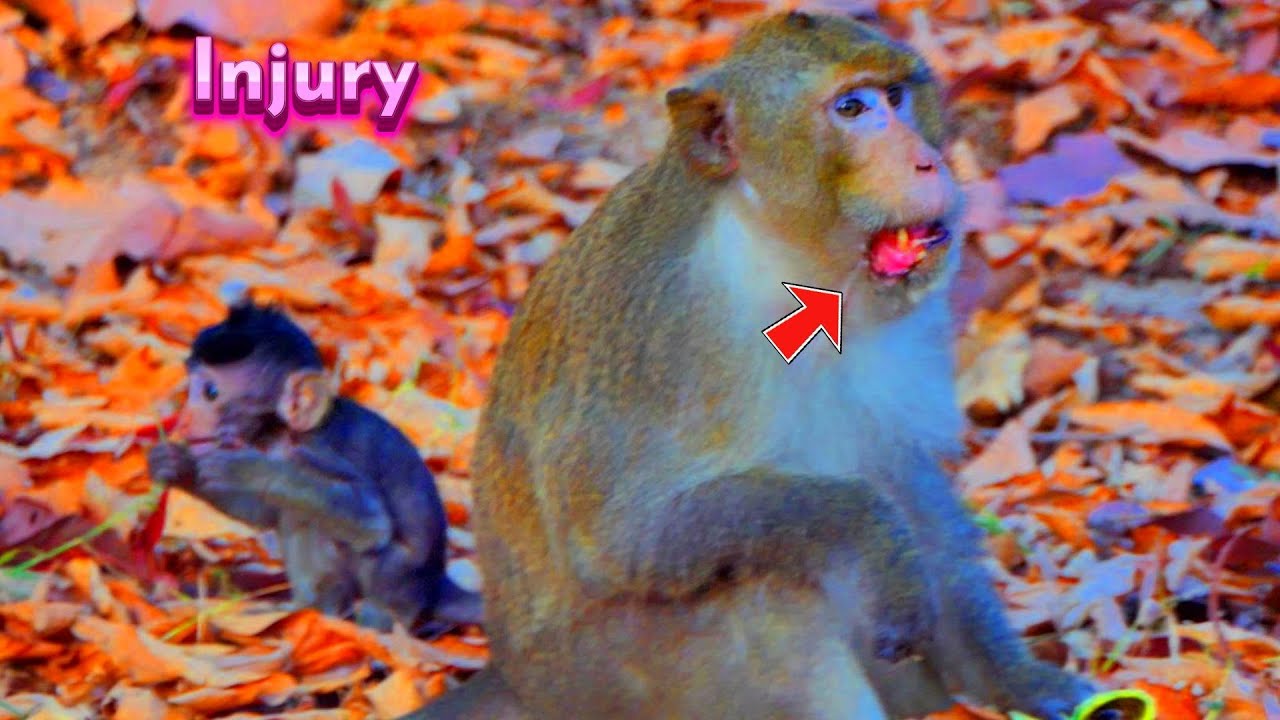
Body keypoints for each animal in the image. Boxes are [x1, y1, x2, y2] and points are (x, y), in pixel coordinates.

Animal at [147, 302, 482, 633]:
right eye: (190, 390)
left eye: (211, 393)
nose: (184, 420)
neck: (285, 435)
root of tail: (435, 584)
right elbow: (264, 512)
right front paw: (178, 466)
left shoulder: (318, 450)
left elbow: (372, 523)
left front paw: (249, 470)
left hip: (403, 584)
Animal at [405, 11, 1101, 720]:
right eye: (852, 109)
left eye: (895, 97)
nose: (927, 160)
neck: (786, 258)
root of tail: (516, 678)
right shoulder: (665, 331)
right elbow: (618, 540)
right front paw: (870, 533)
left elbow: (907, 482)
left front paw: (1019, 680)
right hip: (610, 682)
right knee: (767, 588)